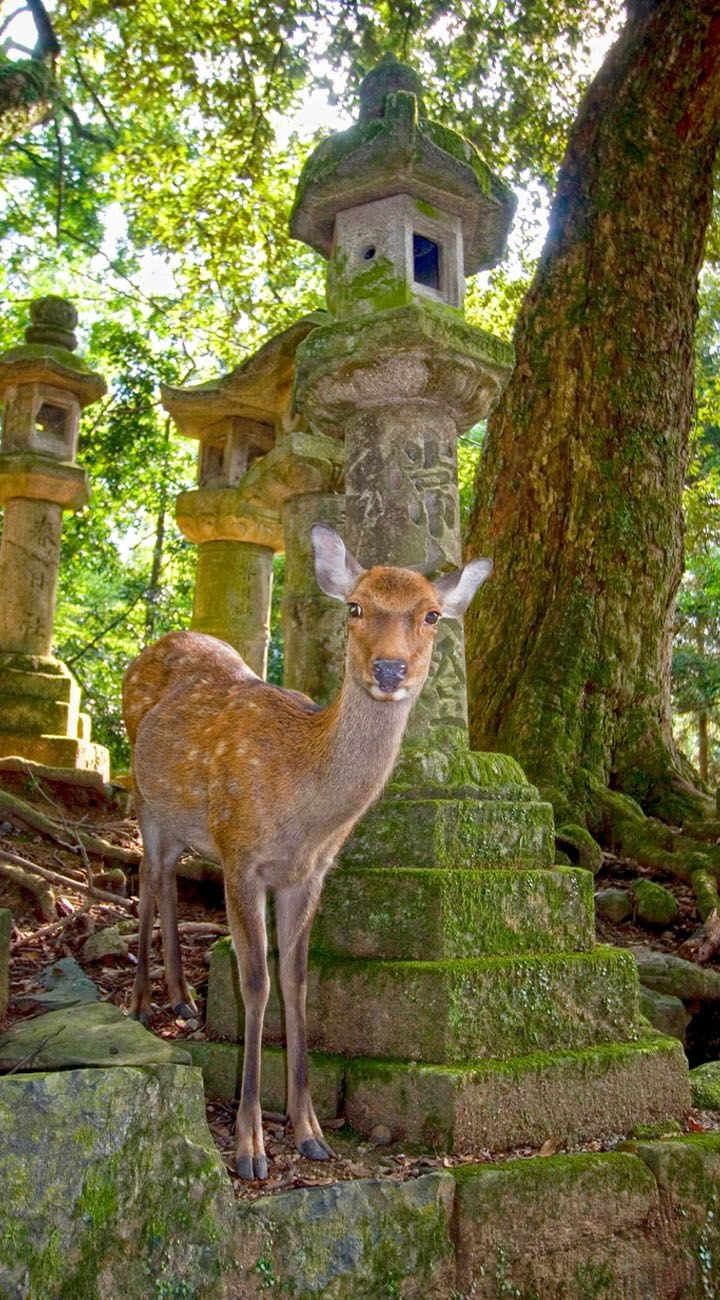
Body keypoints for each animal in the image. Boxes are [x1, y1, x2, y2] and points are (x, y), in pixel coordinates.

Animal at [122, 524, 491, 1180]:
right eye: (355, 607)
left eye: (431, 614)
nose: (390, 668)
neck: (304, 810)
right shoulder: (241, 856)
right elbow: (256, 982)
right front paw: (249, 1145)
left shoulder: (309, 874)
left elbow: (296, 980)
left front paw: (311, 1131)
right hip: (144, 796)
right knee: (145, 876)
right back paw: (143, 1003)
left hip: (185, 823)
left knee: (166, 877)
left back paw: (183, 1000)